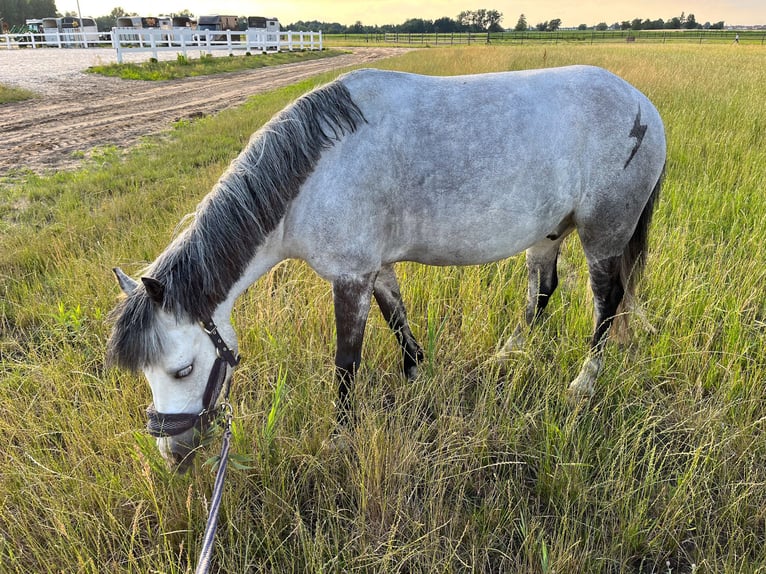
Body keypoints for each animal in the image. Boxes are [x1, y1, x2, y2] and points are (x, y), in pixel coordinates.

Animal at [106, 67, 664, 472]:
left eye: (183, 370)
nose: (174, 456)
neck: (314, 176)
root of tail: (644, 106)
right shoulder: (377, 268)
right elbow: (398, 321)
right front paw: (417, 378)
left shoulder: (351, 277)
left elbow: (346, 362)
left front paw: (339, 440)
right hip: (549, 234)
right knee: (542, 290)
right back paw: (509, 353)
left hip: (602, 236)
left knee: (607, 303)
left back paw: (583, 384)